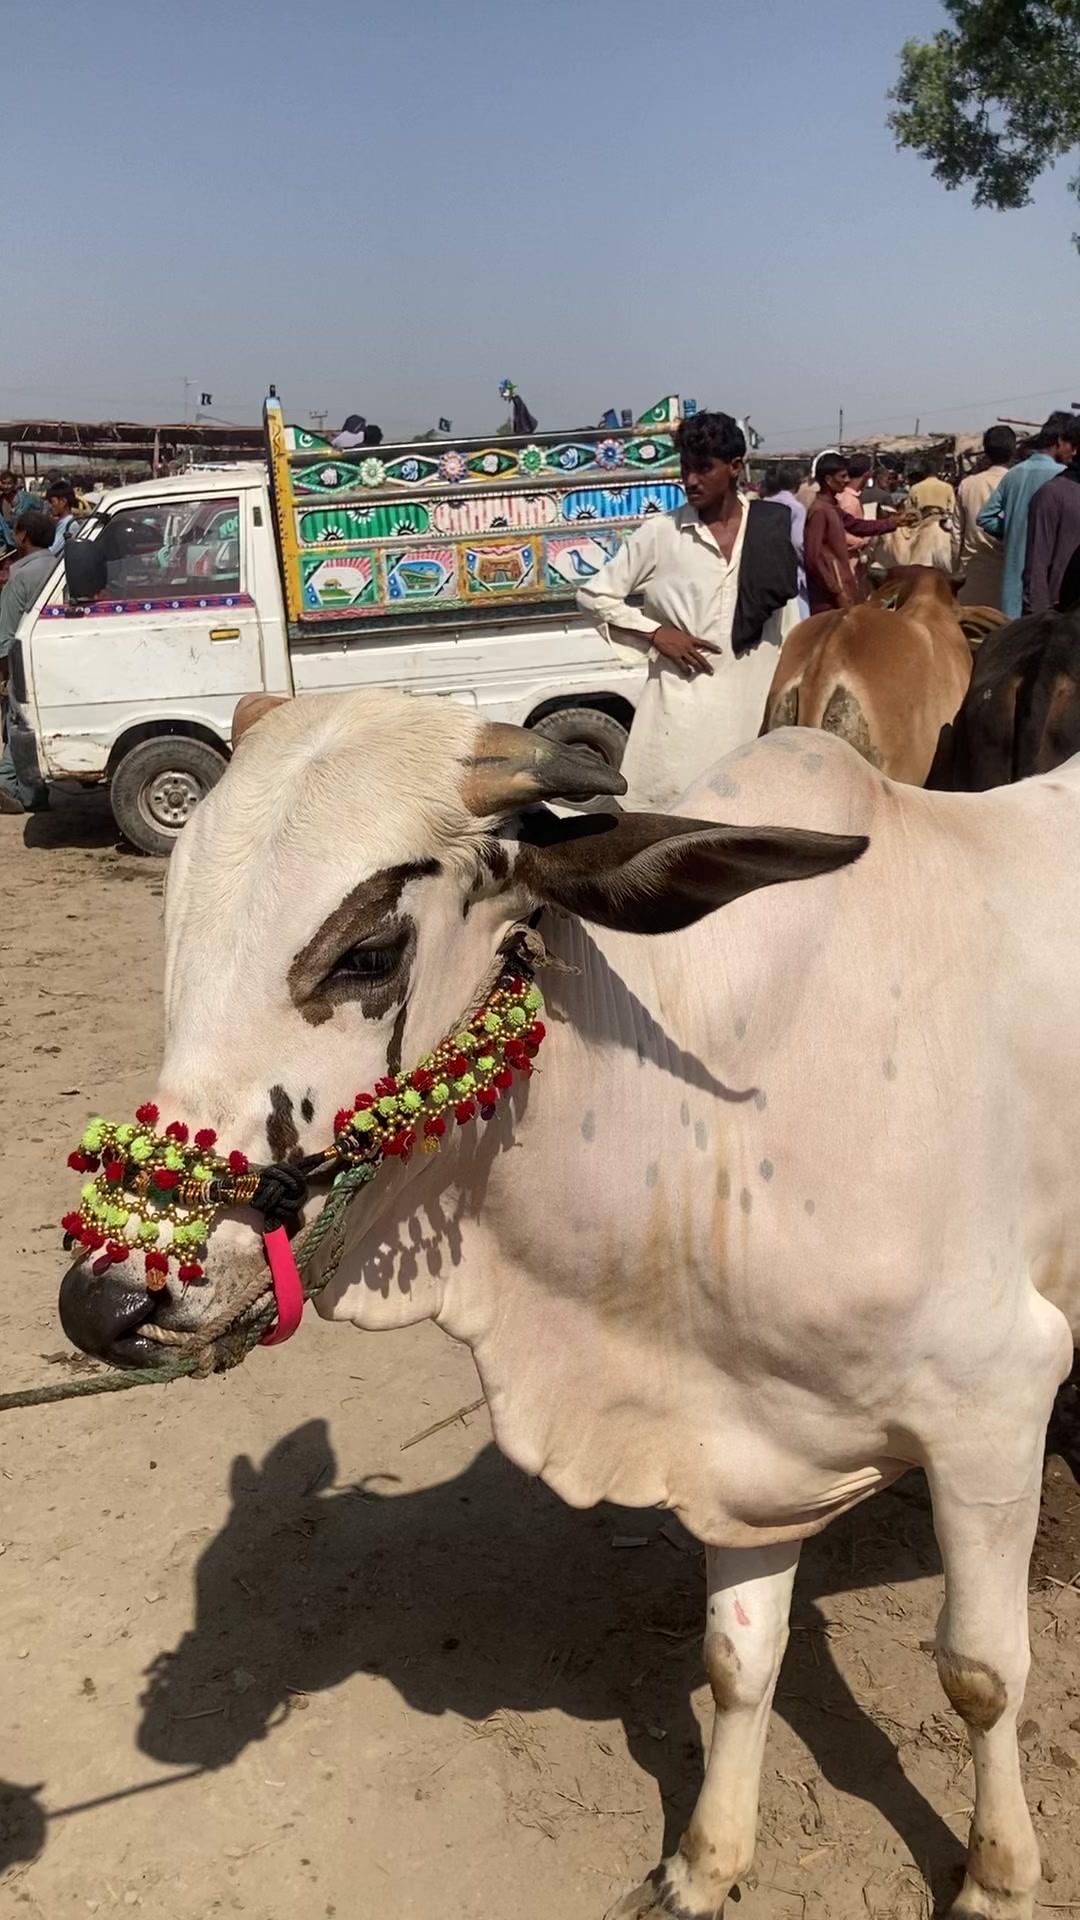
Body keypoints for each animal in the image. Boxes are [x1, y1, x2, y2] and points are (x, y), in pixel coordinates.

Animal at [57, 689, 1080, 1920]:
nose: (110, 1297)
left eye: (369, 951)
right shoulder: (743, 1430)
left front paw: (998, 1879)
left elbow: (981, 1673)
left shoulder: (995, 1401)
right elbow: (738, 1662)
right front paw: (705, 1863)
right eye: (178, 926)